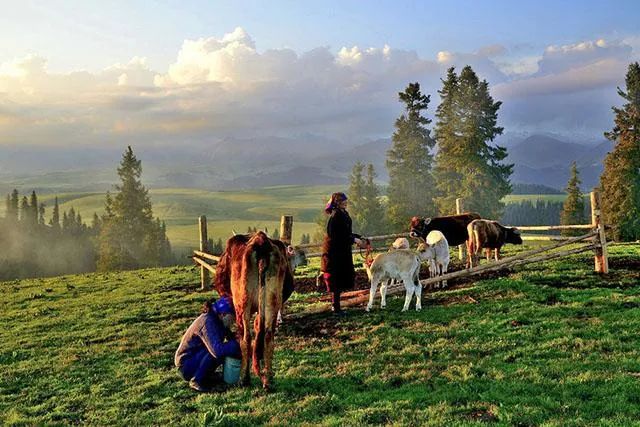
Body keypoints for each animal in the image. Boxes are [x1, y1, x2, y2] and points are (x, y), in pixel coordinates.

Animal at [228, 232, 288, 390]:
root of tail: (261, 243)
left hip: (243, 303)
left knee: (246, 338)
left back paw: (244, 379)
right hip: (273, 300)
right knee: (268, 336)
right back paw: (268, 380)